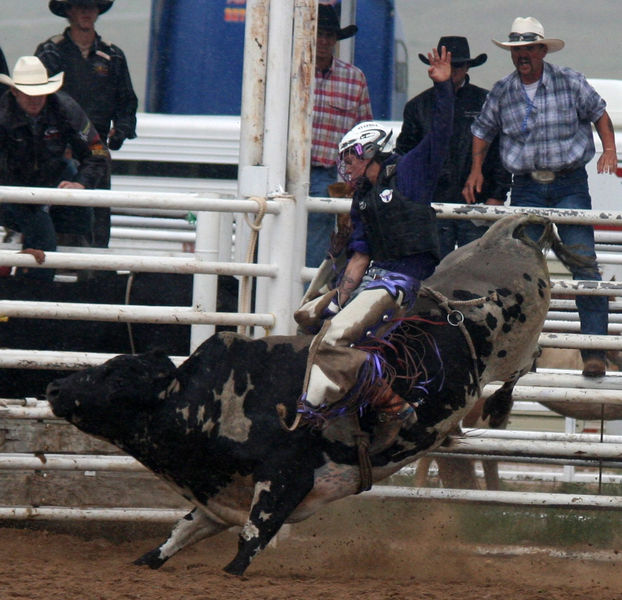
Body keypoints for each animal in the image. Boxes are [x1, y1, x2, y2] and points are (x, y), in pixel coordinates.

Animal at [45, 214, 584, 576]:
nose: (53, 386)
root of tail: (504, 235)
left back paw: (499, 405)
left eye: (118, 378)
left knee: (526, 364)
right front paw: (146, 560)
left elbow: (247, 546)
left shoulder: (285, 479)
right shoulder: (219, 497)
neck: (211, 402)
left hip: (517, 346)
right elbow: (175, 537)